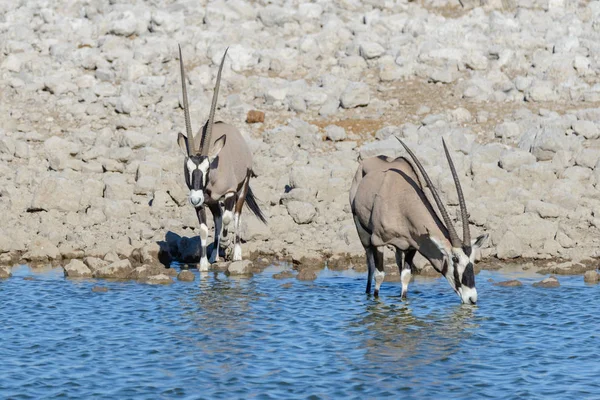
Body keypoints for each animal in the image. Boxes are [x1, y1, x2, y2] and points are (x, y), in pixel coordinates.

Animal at [175, 46, 266, 272]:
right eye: (188, 168)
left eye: (207, 168)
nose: (195, 198)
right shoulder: (202, 203)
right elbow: (204, 229)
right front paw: (204, 265)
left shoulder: (231, 192)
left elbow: (227, 217)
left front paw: (227, 244)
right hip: (212, 202)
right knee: (217, 218)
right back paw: (215, 254)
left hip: (242, 188)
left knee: (235, 216)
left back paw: (236, 252)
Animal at [352, 138, 488, 304]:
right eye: (454, 259)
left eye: (472, 260)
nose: (471, 298)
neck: (402, 199)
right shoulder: (378, 241)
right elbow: (379, 276)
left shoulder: (412, 246)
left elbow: (405, 277)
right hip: (362, 231)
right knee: (370, 266)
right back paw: (367, 293)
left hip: (399, 246)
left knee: (398, 262)